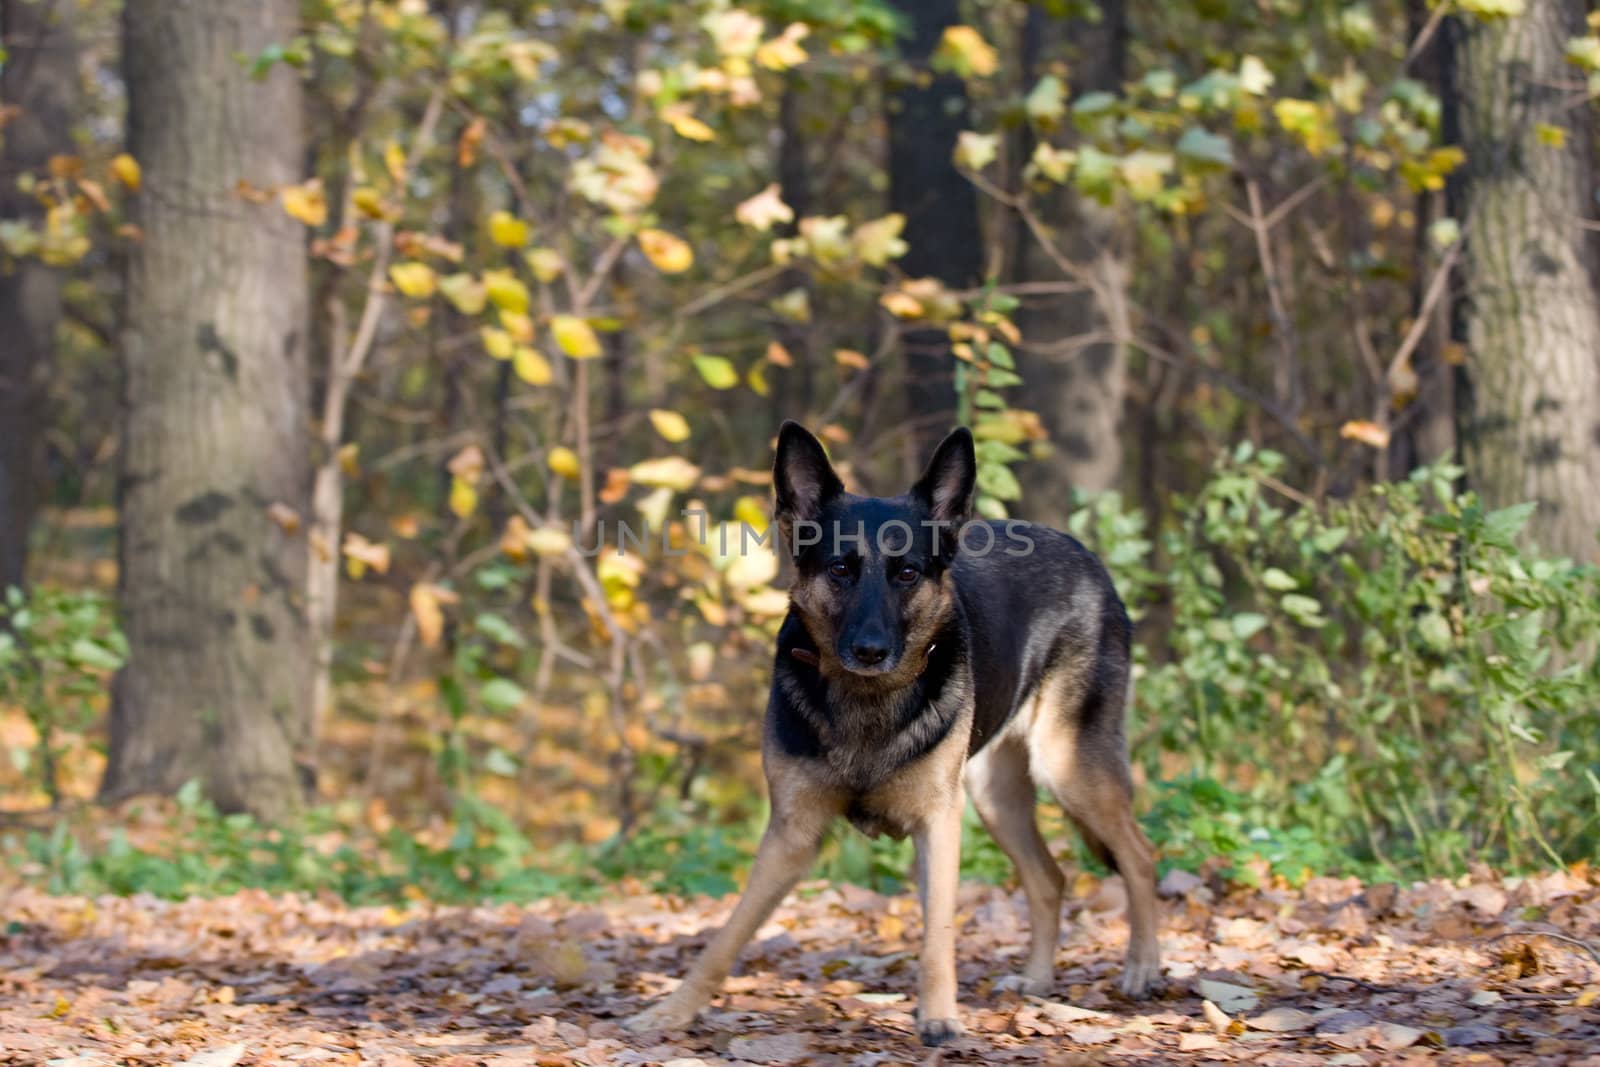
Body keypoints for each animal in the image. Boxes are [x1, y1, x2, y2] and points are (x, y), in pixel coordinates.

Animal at [627, 422, 1164, 1043]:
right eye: (840, 569)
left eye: (907, 572)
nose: (870, 651)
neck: (867, 704)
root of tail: (1085, 556)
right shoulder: (791, 834)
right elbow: (727, 935)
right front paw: (672, 1011)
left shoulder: (938, 824)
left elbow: (938, 934)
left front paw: (939, 1017)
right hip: (995, 796)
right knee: (1050, 878)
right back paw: (1036, 980)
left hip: (1067, 767)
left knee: (1139, 854)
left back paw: (1143, 967)